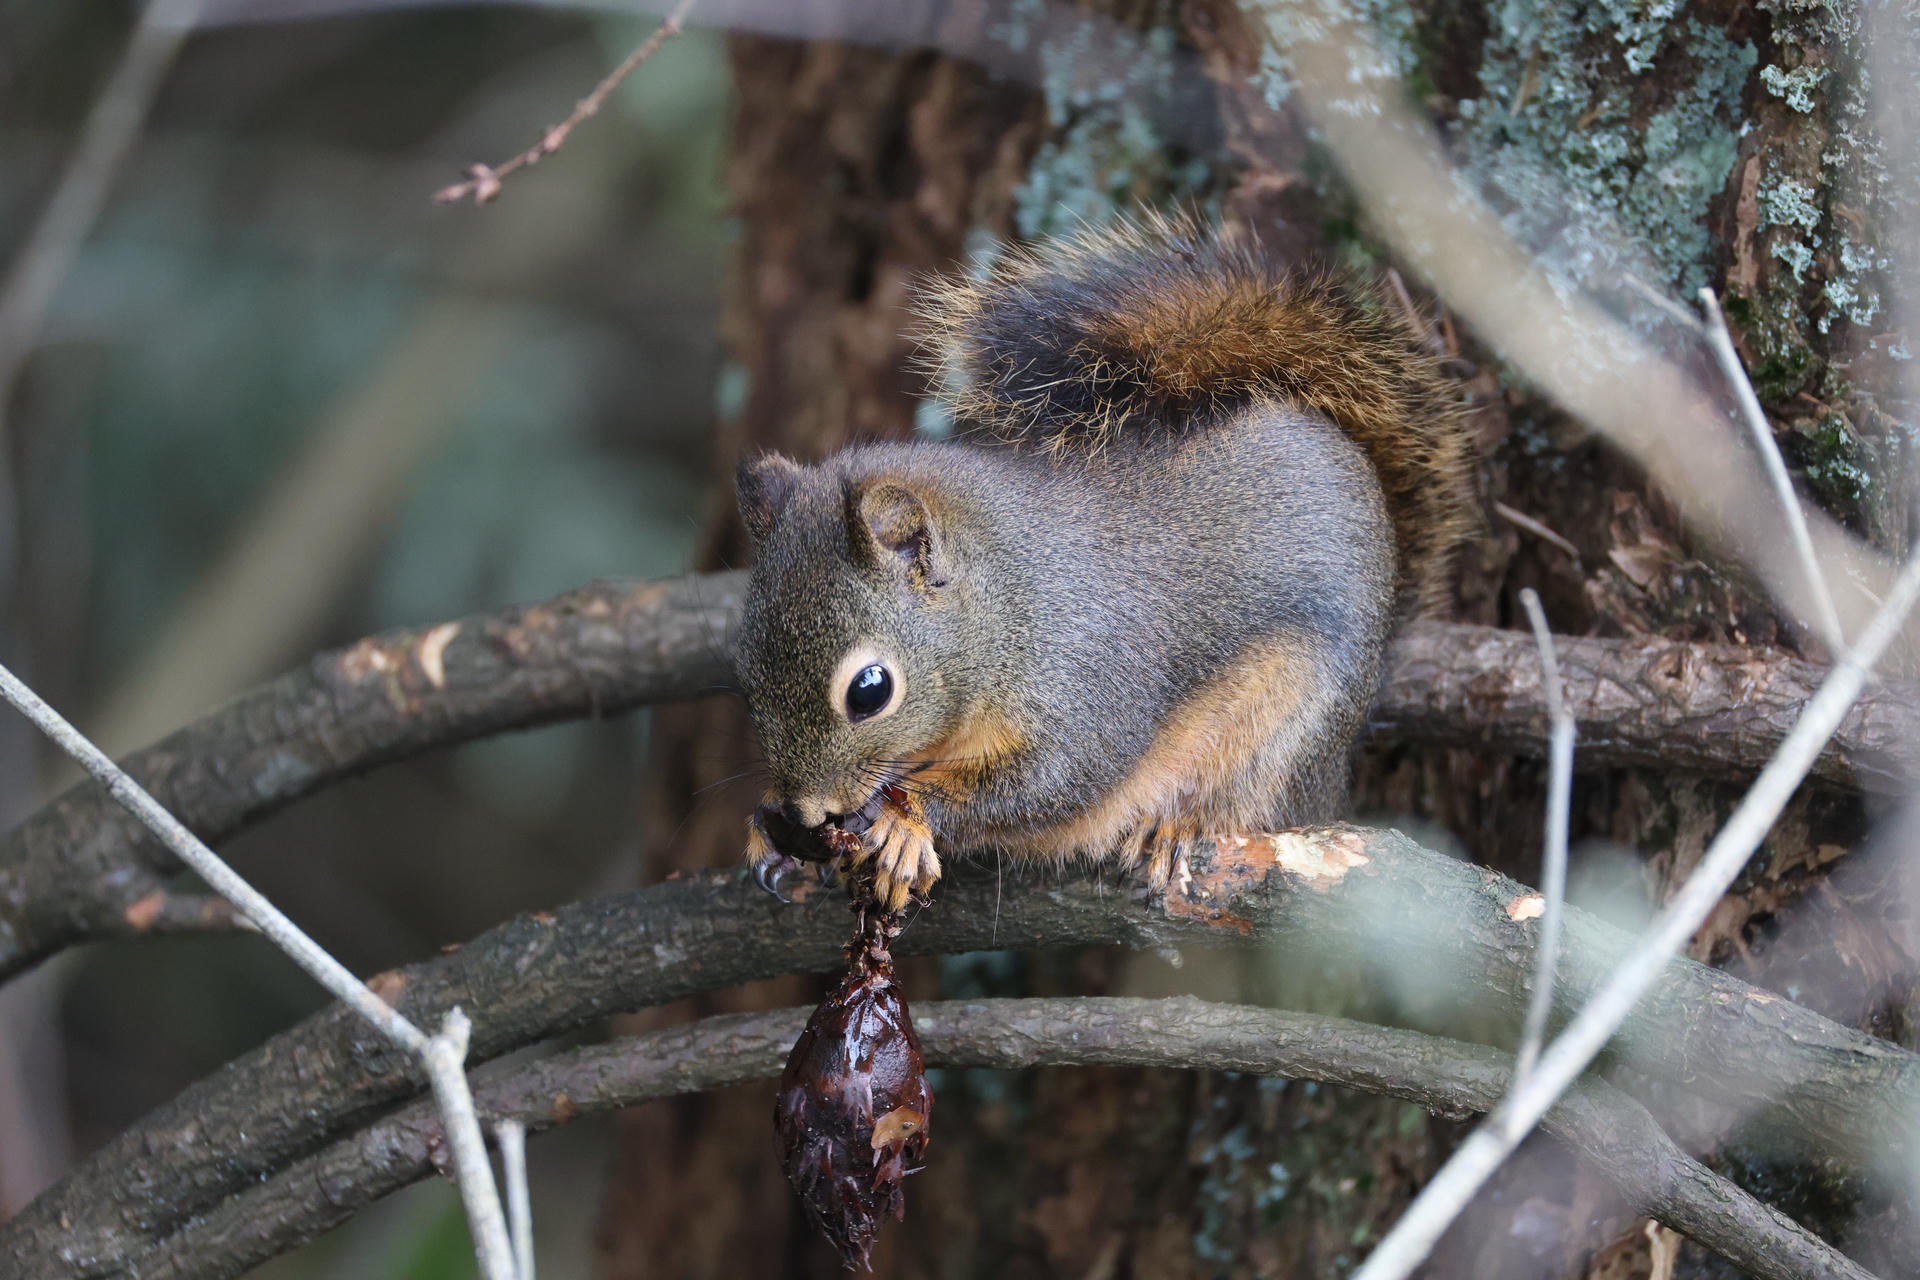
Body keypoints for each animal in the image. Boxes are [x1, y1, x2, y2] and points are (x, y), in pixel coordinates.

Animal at [732, 213, 1476, 912]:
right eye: (745, 670)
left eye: (870, 691)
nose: (806, 811)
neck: (1007, 603)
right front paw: (773, 836)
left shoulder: (1084, 685)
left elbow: (1050, 783)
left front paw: (903, 819)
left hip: (1291, 728)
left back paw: (1185, 827)